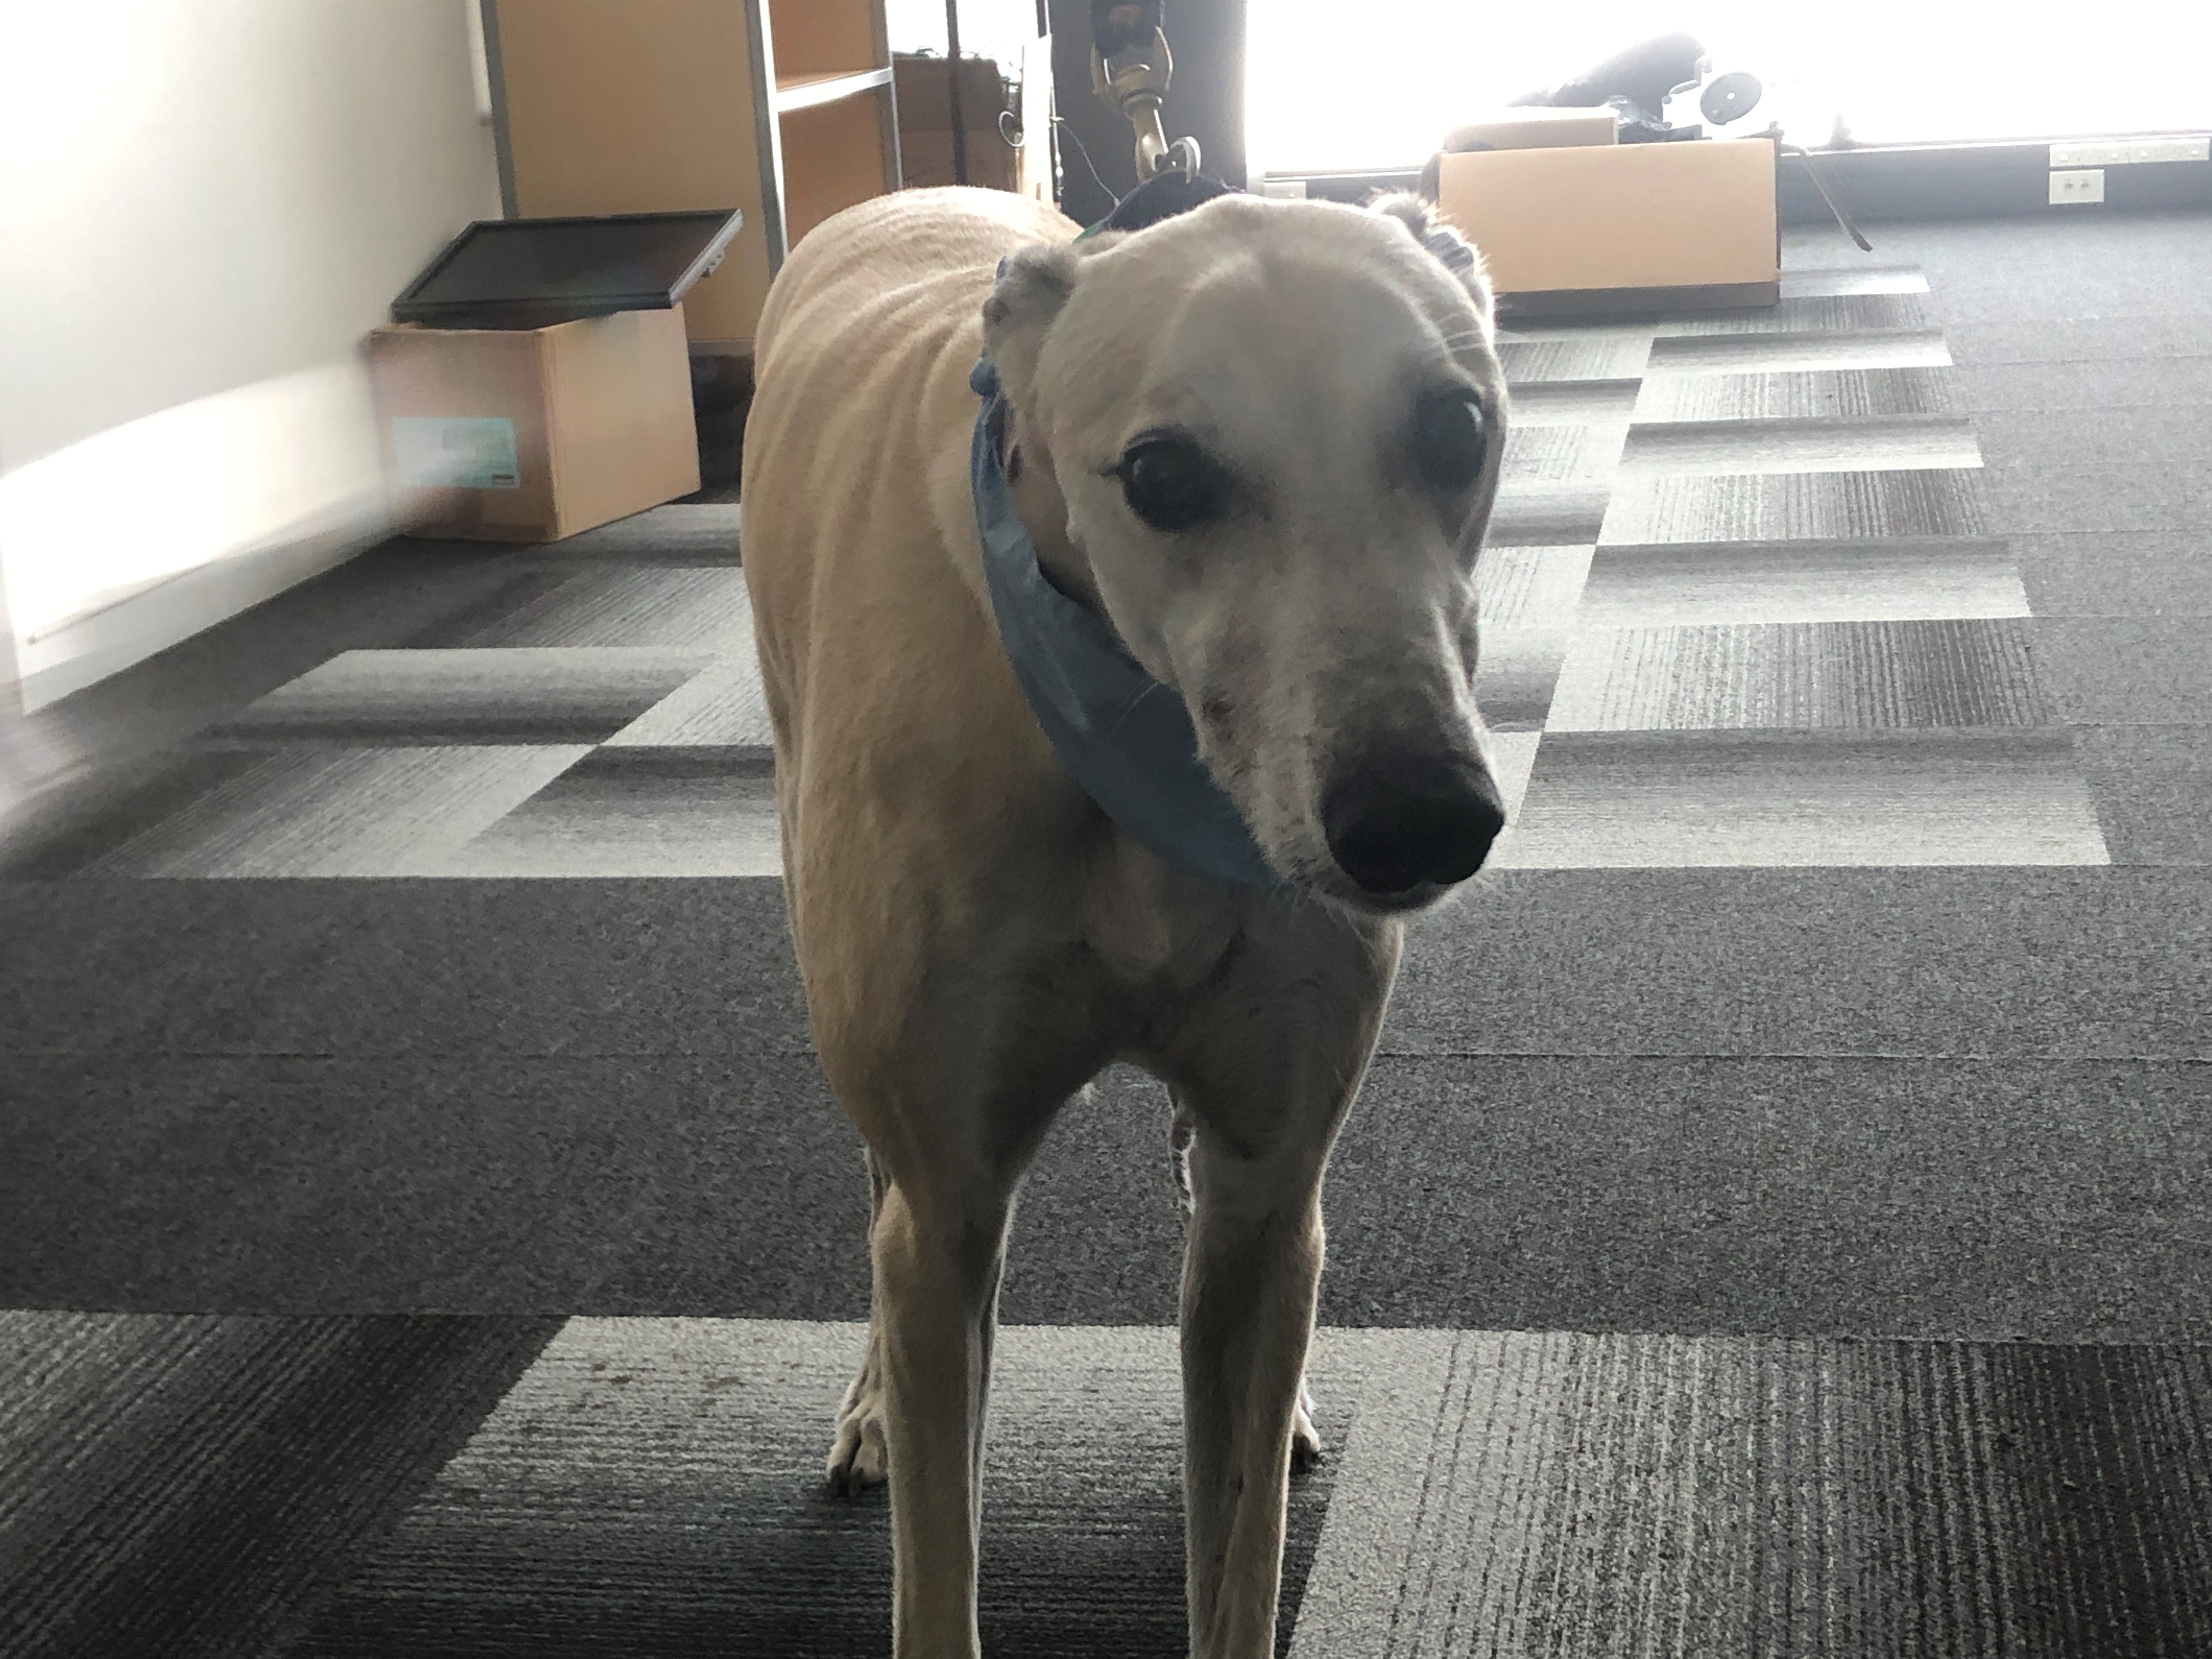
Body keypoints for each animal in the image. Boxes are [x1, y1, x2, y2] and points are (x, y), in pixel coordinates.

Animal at [743, 181, 1504, 1659]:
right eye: (1162, 477)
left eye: (1457, 428)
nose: (1421, 818)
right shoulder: (953, 1203)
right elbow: (939, 1556)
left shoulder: (1272, 1169)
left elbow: (1241, 1542)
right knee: (878, 1206)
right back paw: (870, 1408)